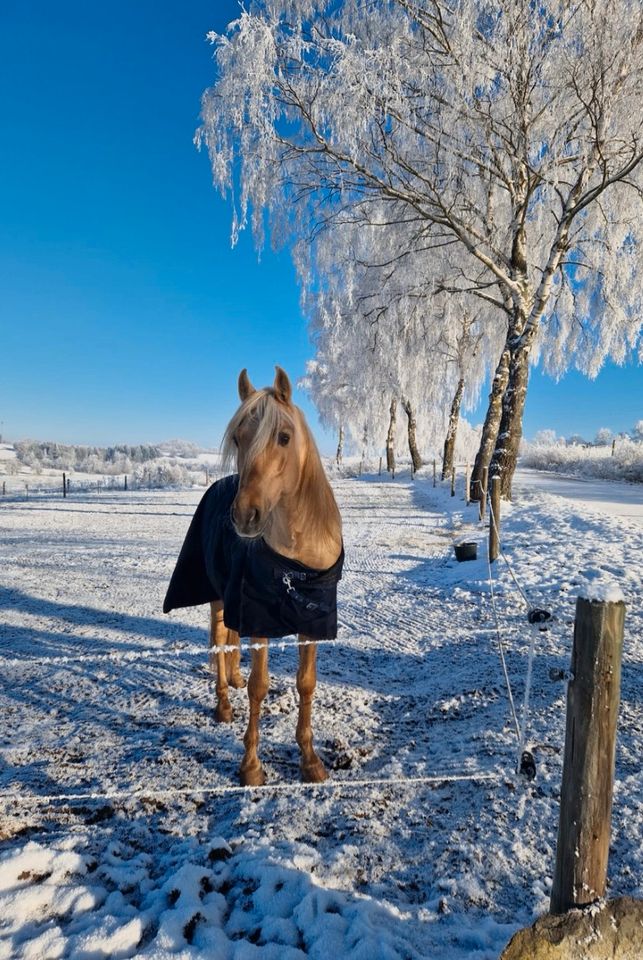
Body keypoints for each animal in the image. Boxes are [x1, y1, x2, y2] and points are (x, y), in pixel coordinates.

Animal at [164, 370, 344, 788]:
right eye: (237, 438)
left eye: (284, 437)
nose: (245, 516)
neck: (297, 561)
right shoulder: (259, 617)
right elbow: (258, 686)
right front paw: (251, 766)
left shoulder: (312, 620)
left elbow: (306, 683)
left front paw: (310, 760)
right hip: (216, 594)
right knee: (218, 640)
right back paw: (223, 705)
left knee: (229, 640)